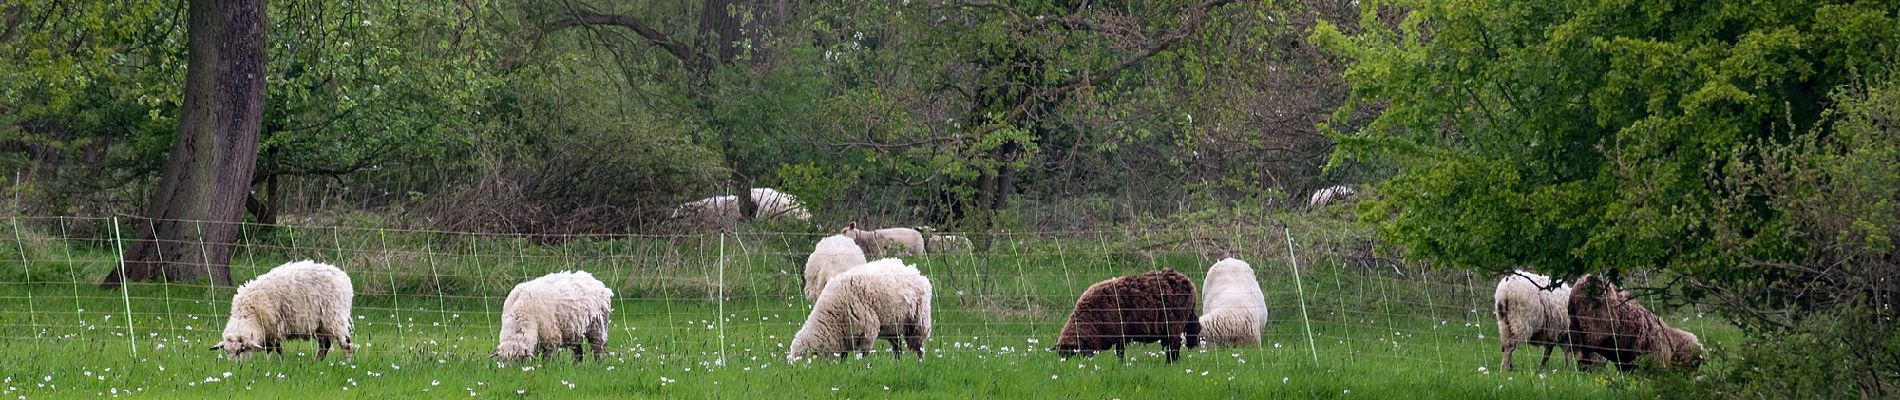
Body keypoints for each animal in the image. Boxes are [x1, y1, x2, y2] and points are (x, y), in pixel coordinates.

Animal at [209, 261, 355, 360]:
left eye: (240, 350)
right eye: (227, 352)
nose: (236, 368)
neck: (249, 313)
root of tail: (344, 277)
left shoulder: (274, 327)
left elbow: (275, 349)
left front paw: (275, 363)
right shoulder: (268, 330)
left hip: (334, 316)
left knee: (345, 342)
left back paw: (347, 363)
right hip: (321, 324)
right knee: (325, 344)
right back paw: (317, 362)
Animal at [786, 259, 934, 362]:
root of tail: (914, 270)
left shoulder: (868, 329)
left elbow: (865, 353)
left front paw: (865, 367)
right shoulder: (846, 334)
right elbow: (844, 355)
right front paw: (843, 366)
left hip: (918, 322)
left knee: (919, 347)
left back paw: (920, 362)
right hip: (893, 325)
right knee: (898, 346)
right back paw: (897, 363)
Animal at [1056, 269, 1200, 362]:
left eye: (1071, 354)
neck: (1091, 318)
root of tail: (1189, 283)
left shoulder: (1120, 332)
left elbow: (1120, 352)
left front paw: (1119, 365)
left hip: (1175, 323)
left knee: (1174, 345)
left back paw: (1169, 364)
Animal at [1565, 276, 1717, 369]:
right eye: (1695, 365)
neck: (1671, 341)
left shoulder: (1628, 363)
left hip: (1575, 324)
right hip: (1593, 328)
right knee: (1581, 349)